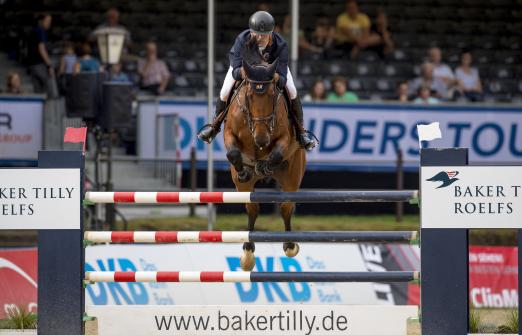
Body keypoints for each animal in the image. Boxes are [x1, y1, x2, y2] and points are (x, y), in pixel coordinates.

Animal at [222, 52, 304, 272]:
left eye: (272, 96)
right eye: (249, 96)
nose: (261, 140)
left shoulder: (284, 138)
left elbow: (276, 153)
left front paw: (264, 164)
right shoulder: (229, 133)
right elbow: (233, 153)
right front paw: (245, 170)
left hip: (292, 176)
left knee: (286, 208)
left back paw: (290, 245)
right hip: (245, 189)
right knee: (253, 209)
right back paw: (247, 253)